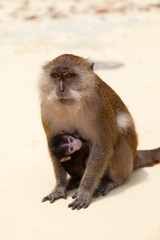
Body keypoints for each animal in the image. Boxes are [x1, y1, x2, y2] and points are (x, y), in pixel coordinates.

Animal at [38, 53, 160, 209]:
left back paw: (112, 181)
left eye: (69, 75)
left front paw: (85, 190)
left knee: (118, 135)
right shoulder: (46, 108)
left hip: (126, 163)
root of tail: (134, 157)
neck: (73, 103)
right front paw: (60, 186)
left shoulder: (100, 106)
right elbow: (52, 142)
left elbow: (103, 143)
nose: (61, 89)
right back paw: (75, 180)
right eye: (55, 75)